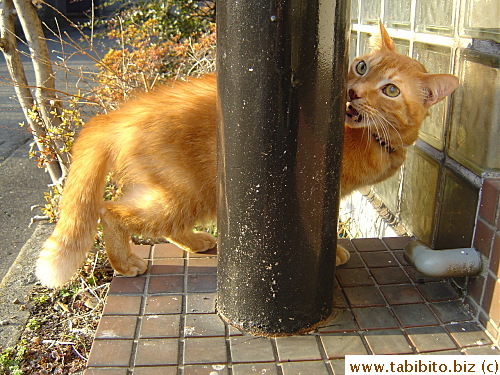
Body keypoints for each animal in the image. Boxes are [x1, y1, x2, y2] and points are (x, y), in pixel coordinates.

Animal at [35, 22, 458, 288]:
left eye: (390, 90)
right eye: (361, 66)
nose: (353, 92)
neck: (375, 137)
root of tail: (117, 115)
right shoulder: (325, 192)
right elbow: (324, 230)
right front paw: (333, 254)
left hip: (183, 195)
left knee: (149, 220)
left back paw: (193, 242)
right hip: (188, 192)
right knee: (109, 210)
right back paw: (125, 263)